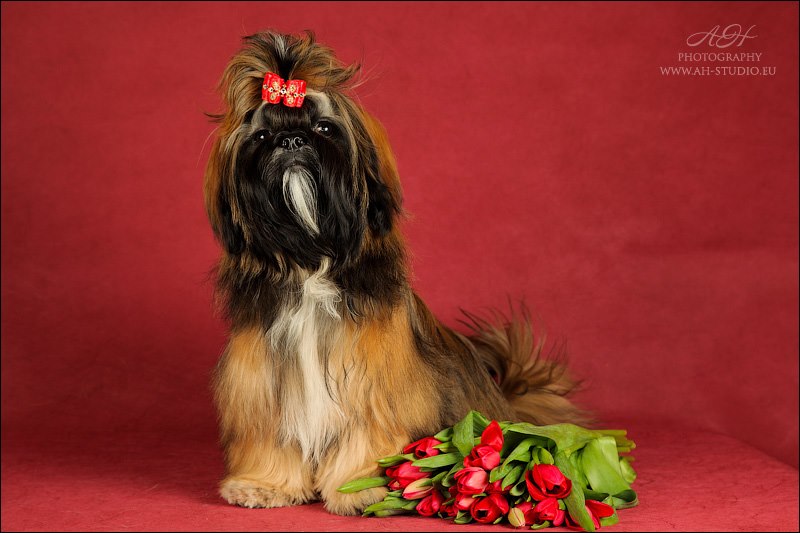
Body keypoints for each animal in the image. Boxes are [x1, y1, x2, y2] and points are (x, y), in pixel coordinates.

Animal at [203, 30, 585, 515]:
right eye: (263, 135)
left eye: (324, 129)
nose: (290, 139)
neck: (310, 264)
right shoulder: (262, 380)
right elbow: (271, 433)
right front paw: (265, 485)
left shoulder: (373, 384)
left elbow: (368, 433)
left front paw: (361, 487)